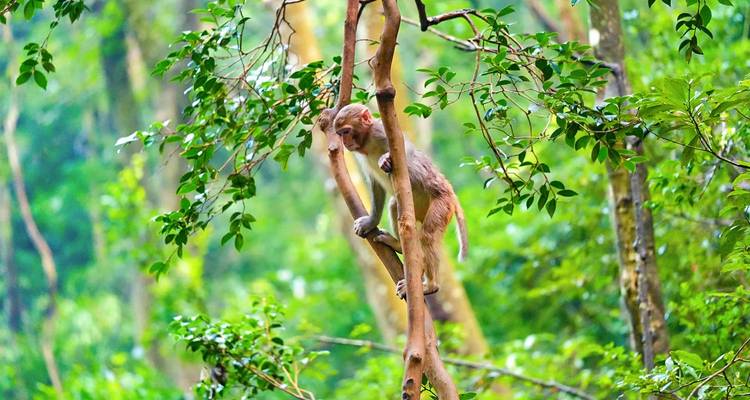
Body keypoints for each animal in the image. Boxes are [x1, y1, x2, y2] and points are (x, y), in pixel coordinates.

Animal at [333, 103, 468, 298]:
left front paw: (385, 159)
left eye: (346, 131)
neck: (367, 141)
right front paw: (370, 222)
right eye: (340, 133)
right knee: (395, 206)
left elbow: (407, 155)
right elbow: (376, 185)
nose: (344, 142)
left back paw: (431, 285)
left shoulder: (382, 133)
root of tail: (451, 192)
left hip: (442, 204)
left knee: (427, 235)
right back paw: (399, 245)